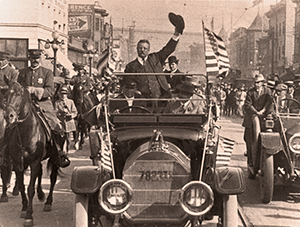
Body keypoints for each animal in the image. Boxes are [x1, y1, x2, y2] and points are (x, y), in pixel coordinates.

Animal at [3, 82, 61, 227]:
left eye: (19, 94)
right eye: (5, 95)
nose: (9, 116)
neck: (26, 132)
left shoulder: (34, 162)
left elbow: (30, 189)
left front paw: (29, 216)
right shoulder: (18, 163)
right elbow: (22, 186)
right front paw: (24, 208)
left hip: (55, 159)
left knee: (52, 178)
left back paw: (48, 202)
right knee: (40, 173)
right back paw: (41, 194)